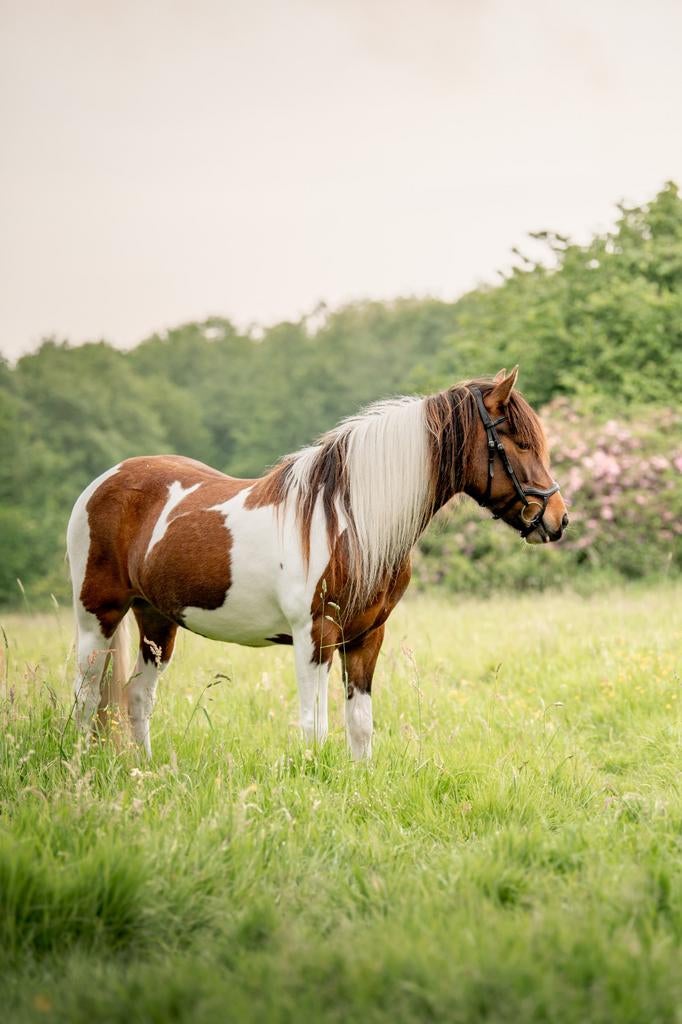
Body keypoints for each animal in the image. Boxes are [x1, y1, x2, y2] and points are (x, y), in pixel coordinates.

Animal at [67, 367, 568, 760]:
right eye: (519, 442)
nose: (558, 519)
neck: (349, 520)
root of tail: (103, 482)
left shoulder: (366, 637)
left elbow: (360, 725)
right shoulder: (315, 636)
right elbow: (316, 727)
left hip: (156, 620)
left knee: (137, 696)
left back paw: (145, 770)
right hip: (98, 617)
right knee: (86, 697)